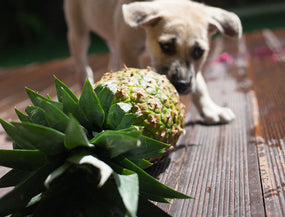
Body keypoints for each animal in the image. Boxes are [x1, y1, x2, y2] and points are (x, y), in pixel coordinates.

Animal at [63, 0, 242, 124]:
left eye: (199, 52)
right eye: (166, 46)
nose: (182, 85)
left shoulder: (192, 69)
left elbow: (199, 85)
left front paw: (210, 110)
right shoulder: (128, 49)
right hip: (78, 31)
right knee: (82, 65)